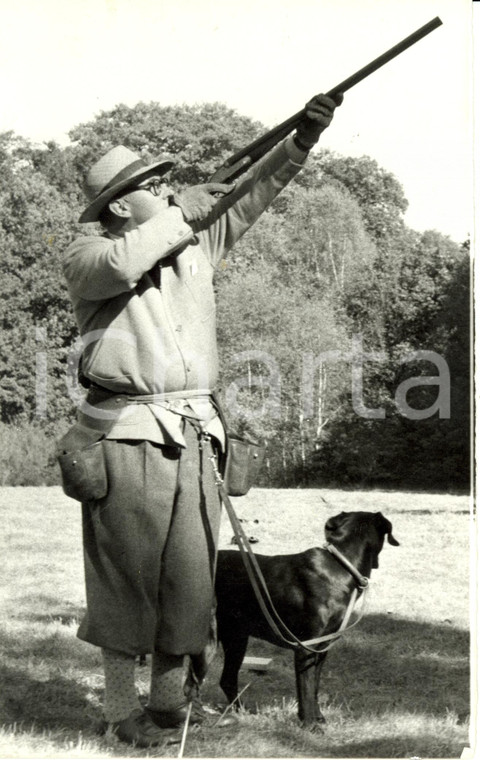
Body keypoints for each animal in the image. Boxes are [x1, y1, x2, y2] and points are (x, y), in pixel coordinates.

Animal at [216, 510, 400, 724]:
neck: (341, 566)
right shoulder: (306, 647)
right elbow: (305, 689)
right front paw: (310, 724)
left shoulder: (322, 646)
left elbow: (314, 688)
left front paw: (318, 717)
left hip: (236, 637)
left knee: (227, 679)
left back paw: (241, 712)